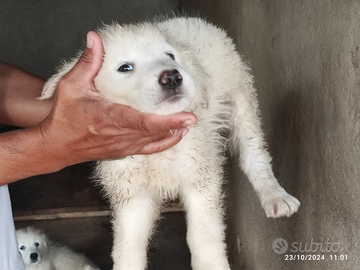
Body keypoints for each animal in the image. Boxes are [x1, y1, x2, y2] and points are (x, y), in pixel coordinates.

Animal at [40, 16, 300, 270]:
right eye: (125, 68)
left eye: (170, 56)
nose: (173, 76)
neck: (156, 152)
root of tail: (192, 18)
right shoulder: (133, 195)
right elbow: (127, 247)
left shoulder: (201, 180)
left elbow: (203, 237)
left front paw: (212, 264)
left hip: (241, 103)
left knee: (254, 156)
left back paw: (276, 197)